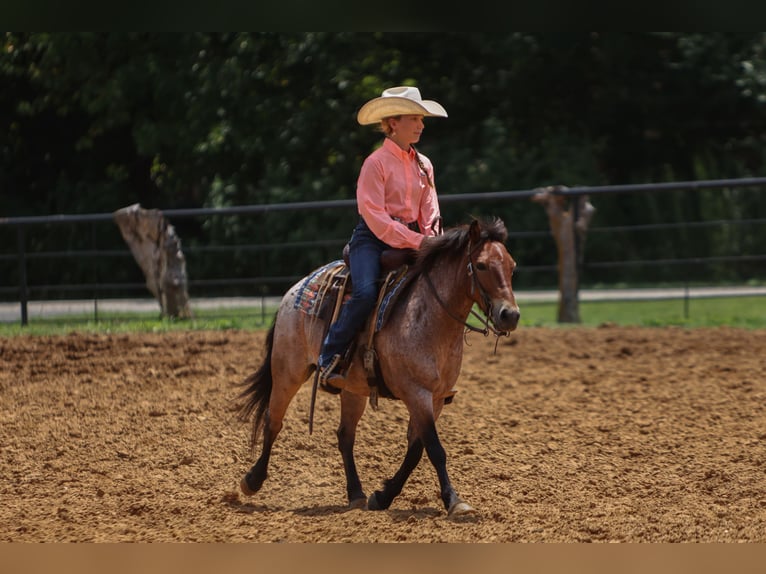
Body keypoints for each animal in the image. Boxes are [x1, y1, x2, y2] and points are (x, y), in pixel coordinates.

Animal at [235, 216, 520, 517]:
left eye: (511, 266)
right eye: (481, 265)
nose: (510, 315)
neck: (430, 317)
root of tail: (294, 290)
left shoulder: (436, 398)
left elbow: (416, 451)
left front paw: (383, 496)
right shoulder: (416, 393)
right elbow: (434, 448)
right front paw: (454, 500)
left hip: (352, 388)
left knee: (345, 436)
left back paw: (356, 493)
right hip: (288, 371)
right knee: (273, 421)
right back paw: (252, 480)